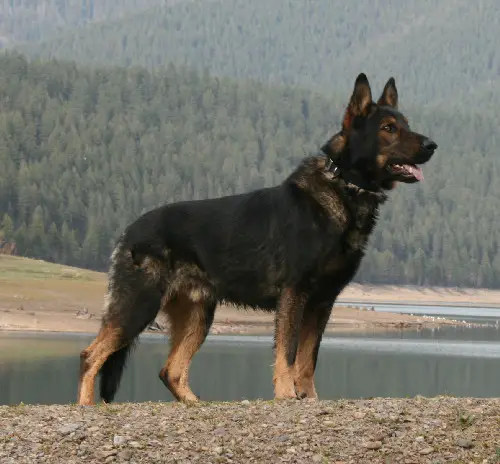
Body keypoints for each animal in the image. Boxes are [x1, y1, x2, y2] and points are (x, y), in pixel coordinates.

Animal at [77, 73, 437, 405]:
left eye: (406, 124)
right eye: (389, 128)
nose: (432, 145)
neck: (345, 186)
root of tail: (129, 231)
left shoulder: (323, 302)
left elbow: (308, 359)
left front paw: (310, 399)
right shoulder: (295, 295)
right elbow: (288, 353)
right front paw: (287, 396)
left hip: (198, 316)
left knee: (171, 371)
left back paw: (197, 404)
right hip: (140, 305)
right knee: (90, 356)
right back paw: (86, 406)